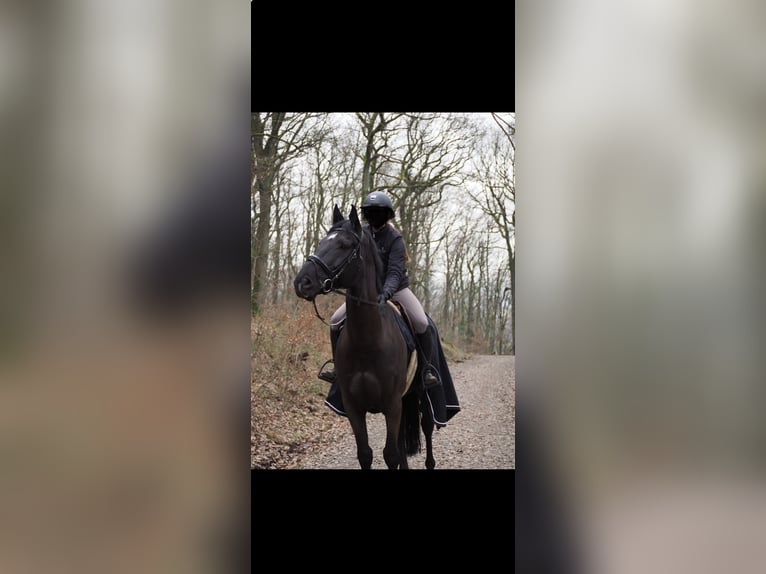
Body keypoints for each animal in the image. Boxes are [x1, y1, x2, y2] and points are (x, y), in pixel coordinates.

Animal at [293, 205, 435, 470]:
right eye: (321, 242)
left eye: (344, 245)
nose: (302, 283)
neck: (368, 340)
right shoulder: (354, 407)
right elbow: (366, 454)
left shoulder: (391, 405)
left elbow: (390, 455)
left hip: (421, 394)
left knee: (428, 428)